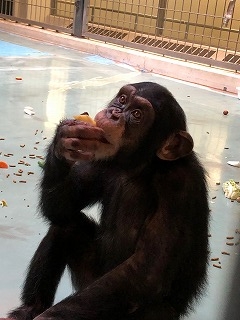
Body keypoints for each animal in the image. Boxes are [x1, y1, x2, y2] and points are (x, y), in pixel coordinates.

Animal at [6, 82, 209, 320]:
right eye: (122, 99)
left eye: (137, 114)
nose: (114, 113)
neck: (141, 167)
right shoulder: (98, 158)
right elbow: (60, 209)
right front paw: (64, 139)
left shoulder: (179, 186)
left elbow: (147, 271)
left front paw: (48, 318)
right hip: (89, 281)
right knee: (66, 227)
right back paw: (30, 309)